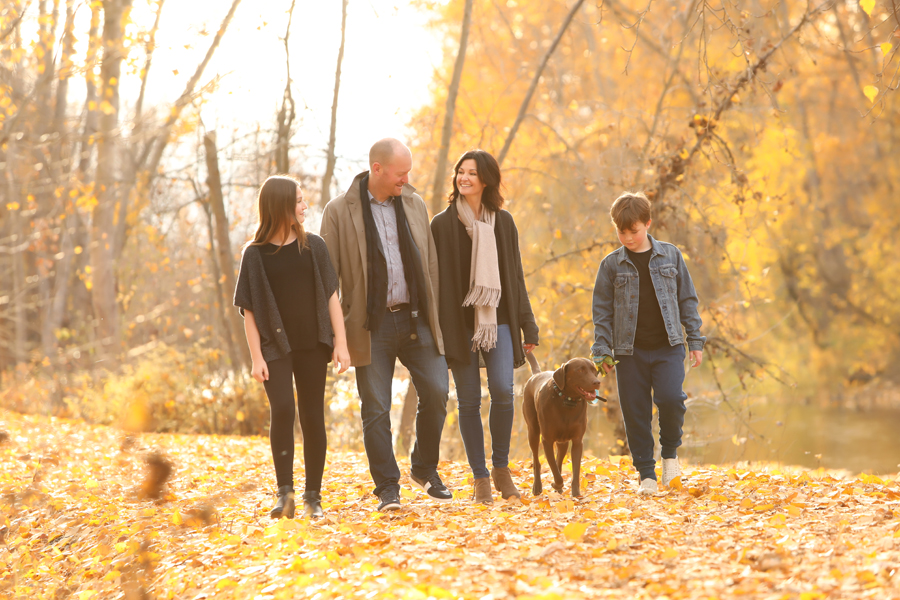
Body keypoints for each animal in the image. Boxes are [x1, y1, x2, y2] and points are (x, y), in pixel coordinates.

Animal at [524, 352, 600, 496]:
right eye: (580, 370)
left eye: (595, 371)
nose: (597, 382)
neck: (567, 401)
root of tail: (536, 374)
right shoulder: (547, 440)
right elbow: (555, 472)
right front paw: (556, 484)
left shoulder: (577, 441)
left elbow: (575, 470)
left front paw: (576, 494)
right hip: (533, 432)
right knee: (537, 461)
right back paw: (537, 487)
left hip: (562, 441)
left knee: (558, 461)